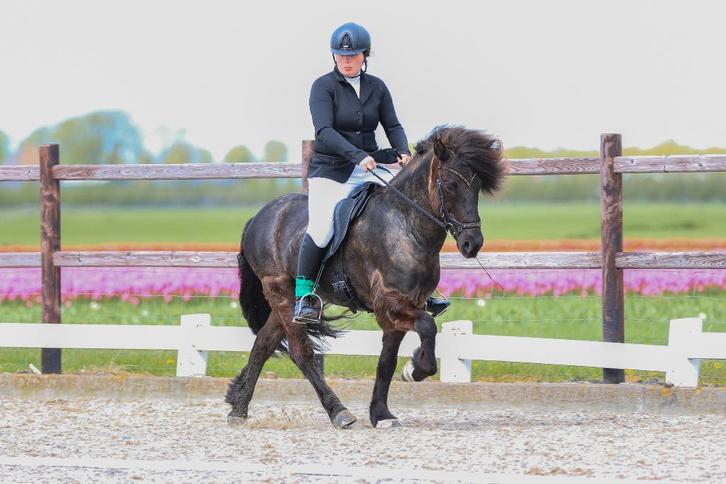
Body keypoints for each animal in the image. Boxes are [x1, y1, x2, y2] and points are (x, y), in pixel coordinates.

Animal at [225, 126, 506, 428]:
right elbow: (428, 327)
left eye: (476, 188)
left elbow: (386, 362)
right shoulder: (390, 305)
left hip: (287, 301)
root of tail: (260, 217)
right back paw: (338, 412)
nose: (472, 244)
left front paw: (381, 413)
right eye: (452, 185)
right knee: (301, 353)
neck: (405, 225)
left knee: (263, 345)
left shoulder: (408, 306)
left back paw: (238, 407)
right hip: (279, 291)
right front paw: (414, 369)